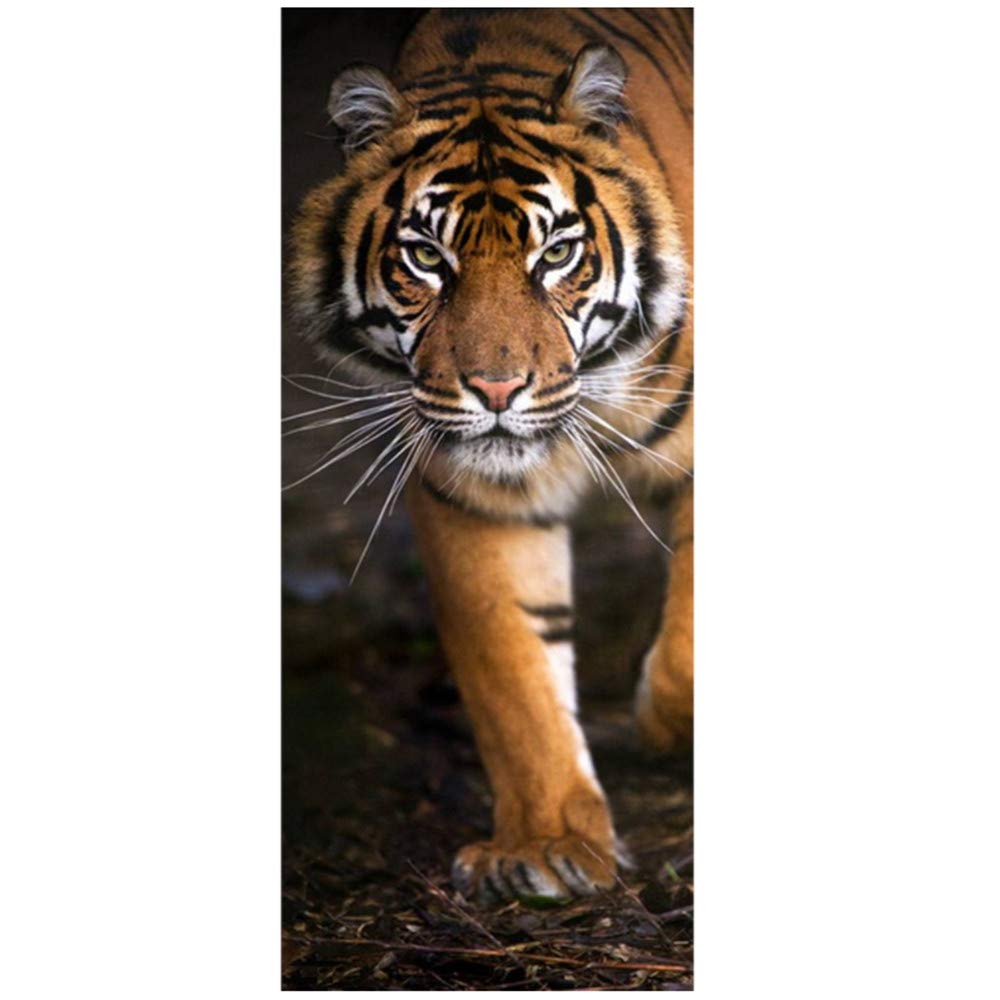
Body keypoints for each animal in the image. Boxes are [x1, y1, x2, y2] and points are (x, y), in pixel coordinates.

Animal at [287, 8, 693, 904]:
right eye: (427, 259)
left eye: (556, 255)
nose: (498, 388)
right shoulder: (472, 491)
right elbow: (513, 668)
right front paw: (547, 846)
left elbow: (687, 648)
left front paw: (660, 726)